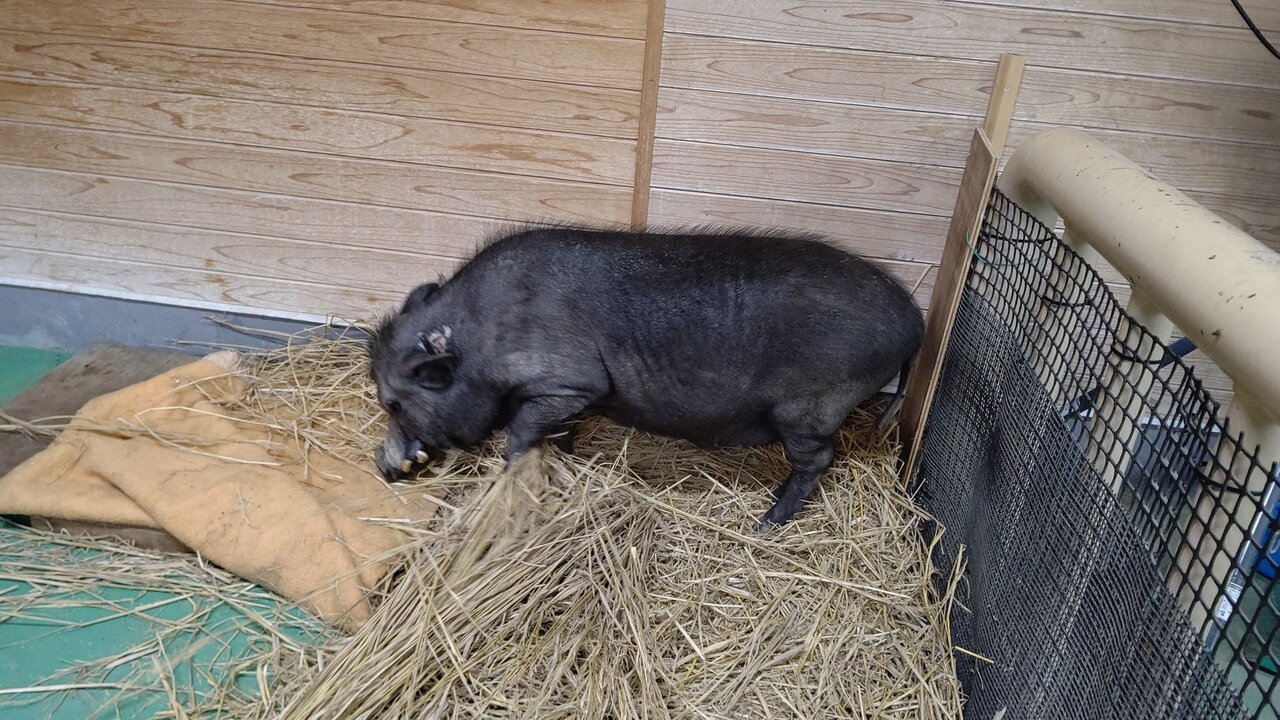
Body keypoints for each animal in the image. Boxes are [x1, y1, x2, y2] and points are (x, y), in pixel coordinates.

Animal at [367, 226, 924, 530]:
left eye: (393, 402)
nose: (382, 465)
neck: (482, 342)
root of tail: (915, 322)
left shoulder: (571, 382)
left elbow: (522, 431)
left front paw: (514, 469)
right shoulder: (566, 400)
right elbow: (558, 432)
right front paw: (563, 460)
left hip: (808, 409)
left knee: (821, 458)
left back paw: (765, 524)